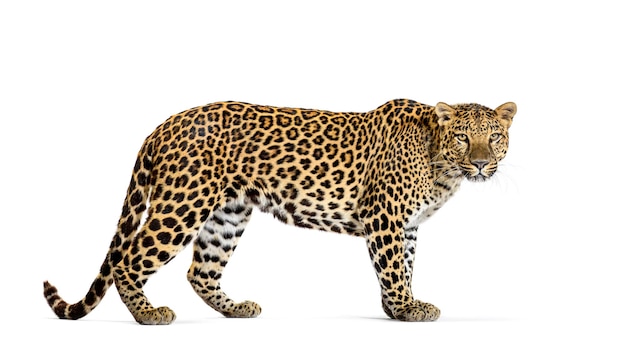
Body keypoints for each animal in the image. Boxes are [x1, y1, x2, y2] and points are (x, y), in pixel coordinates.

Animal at [42, 98, 512, 324]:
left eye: (494, 137)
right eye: (463, 138)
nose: (481, 163)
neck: (441, 166)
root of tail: (163, 125)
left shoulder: (408, 225)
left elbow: (406, 265)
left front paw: (398, 308)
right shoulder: (385, 218)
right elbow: (394, 268)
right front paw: (408, 309)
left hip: (228, 213)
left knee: (201, 271)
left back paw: (235, 309)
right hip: (183, 202)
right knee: (129, 256)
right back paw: (148, 315)